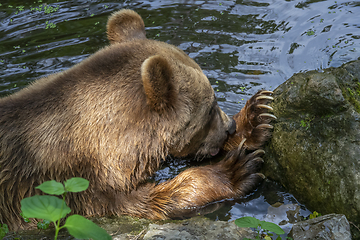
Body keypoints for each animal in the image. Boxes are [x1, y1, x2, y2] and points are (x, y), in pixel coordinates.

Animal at [0, 9, 272, 231]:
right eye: (211, 107)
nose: (229, 127)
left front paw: (257, 116)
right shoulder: (71, 190)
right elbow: (151, 201)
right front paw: (237, 169)